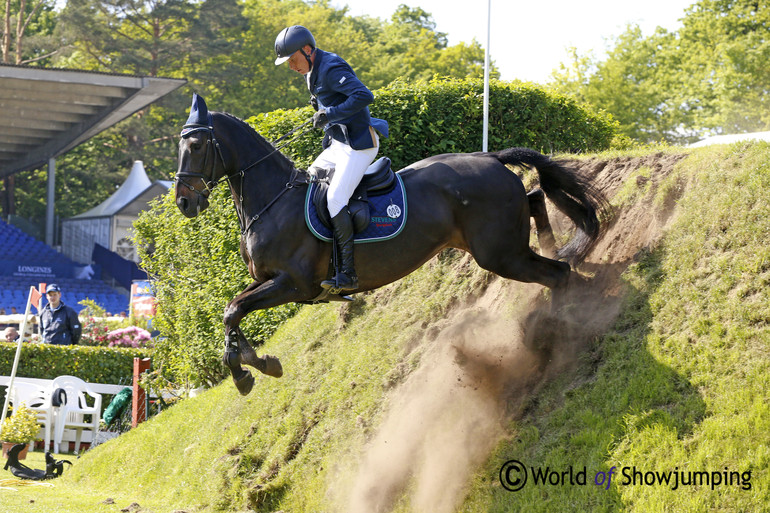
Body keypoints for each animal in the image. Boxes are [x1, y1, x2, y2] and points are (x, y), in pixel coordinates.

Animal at [177, 96, 604, 394]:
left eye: (196, 146)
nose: (184, 201)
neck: (273, 201)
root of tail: (490, 157)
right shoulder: (269, 280)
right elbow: (232, 310)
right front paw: (256, 362)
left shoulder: (294, 285)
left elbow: (234, 311)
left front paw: (246, 371)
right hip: (501, 244)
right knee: (536, 201)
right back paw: (557, 250)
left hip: (500, 255)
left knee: (557, 274)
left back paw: (552, 331)